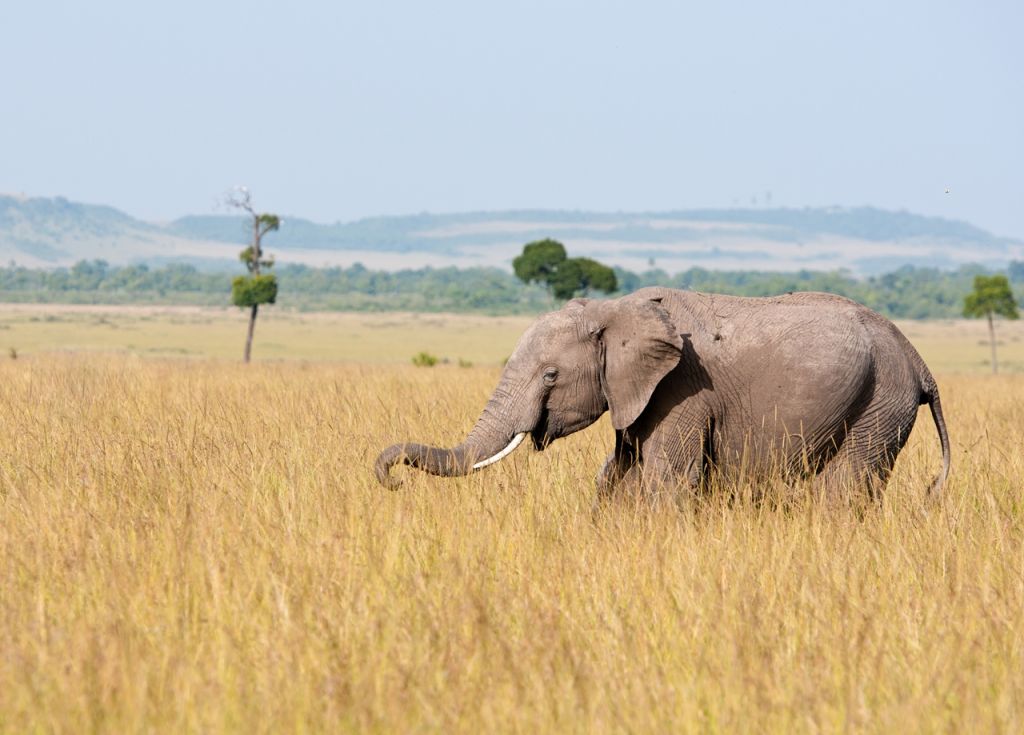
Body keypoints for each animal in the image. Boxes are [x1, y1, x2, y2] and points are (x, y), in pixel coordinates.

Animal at [376, 286, 950, 501]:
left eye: (550, 376)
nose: (391, 479)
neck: (615, 309)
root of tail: (922, 364)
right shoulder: (639, 393)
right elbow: (617, 478)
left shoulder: (683, 391)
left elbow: (666, 483)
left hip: (880, 402)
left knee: (844, 490)